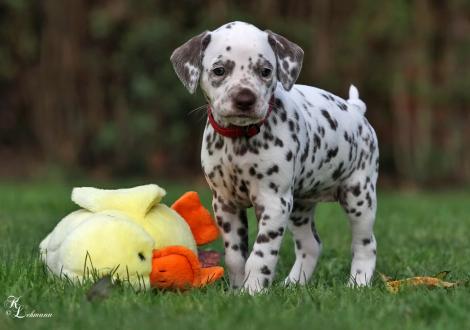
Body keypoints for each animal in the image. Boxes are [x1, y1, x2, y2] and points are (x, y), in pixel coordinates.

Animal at [171, 21, 380, 294]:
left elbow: (260, 254)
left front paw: (253, 290)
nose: (245, 99)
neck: (239, 139)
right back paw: (293, 284)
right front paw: (236, 290)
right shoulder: (225, 204)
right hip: (300, 206)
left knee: (366, 244)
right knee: (311, 244)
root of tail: (356, 110)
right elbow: (235, 256)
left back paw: (358, 283)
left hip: (359, 196)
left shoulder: (274, 202)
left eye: (265, 71)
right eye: (219, 70)